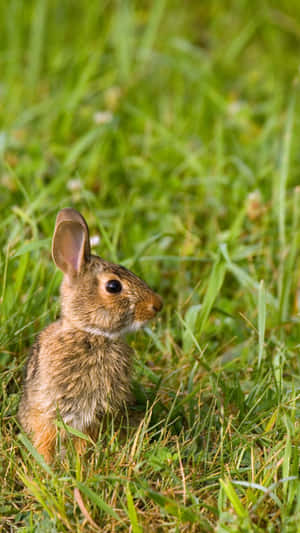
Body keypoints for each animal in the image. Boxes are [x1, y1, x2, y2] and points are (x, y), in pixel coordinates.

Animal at [17, 208, 163, 462]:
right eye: (113, 287)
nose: (157, 305)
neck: (91, 334)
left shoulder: (94, 415)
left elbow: (84, 441)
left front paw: (81, 462)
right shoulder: (49, 410)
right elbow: (45, 440)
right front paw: (45, 465)